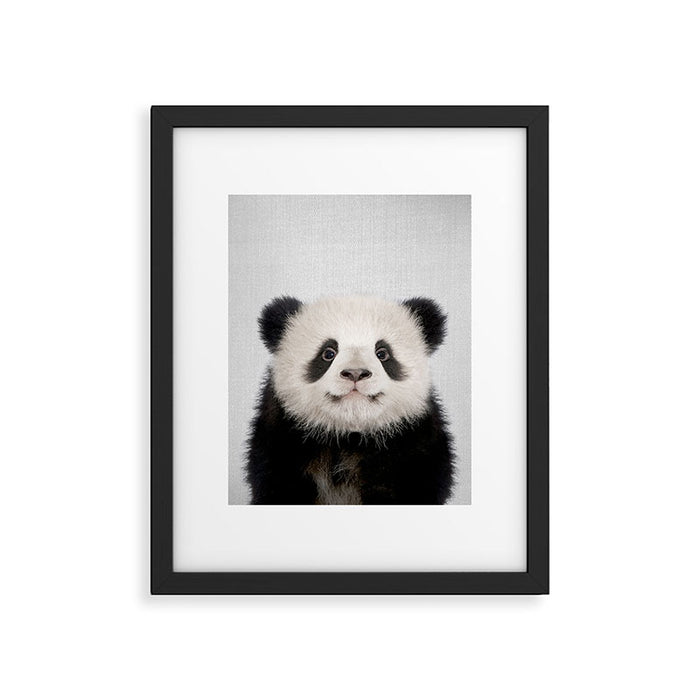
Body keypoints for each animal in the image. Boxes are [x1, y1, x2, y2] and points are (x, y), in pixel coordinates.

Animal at [245, 295, 455, 505]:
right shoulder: (282, 438)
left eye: (382, 353)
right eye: (328, 353)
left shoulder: (413, 442)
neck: (348, 437)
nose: (355, 373)